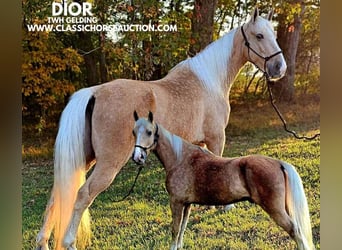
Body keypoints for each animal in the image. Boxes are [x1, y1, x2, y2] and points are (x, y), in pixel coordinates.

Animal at [35, 7, 286, 250]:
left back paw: (43, 242)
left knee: (57, 195)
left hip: (86, 159)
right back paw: (68, 243)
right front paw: (225, 207)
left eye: (273, 35)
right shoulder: (216, 138)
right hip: (108, 164)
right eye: (259, 36)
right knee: (82, 195)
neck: (209, 81)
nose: (279, 68)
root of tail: (93, 92)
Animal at [132, 112, 314, 250]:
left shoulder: (176, 202)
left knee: (296, 232)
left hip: (276, 210)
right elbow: (182, 229)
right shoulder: (186, 204)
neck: (180, 159)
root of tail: (279, 163)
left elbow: (175, 230)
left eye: (149, 132)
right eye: (134, 132)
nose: (138, 157)